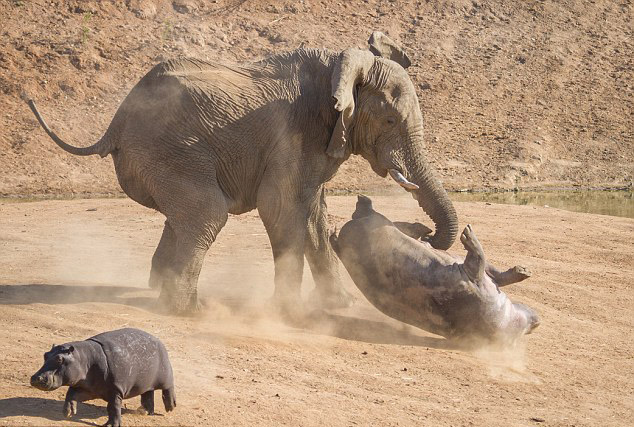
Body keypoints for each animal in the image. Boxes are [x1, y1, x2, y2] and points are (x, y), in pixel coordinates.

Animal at [24, 32, 456, 314]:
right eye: (390, 120)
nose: (427, 236)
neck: (341, 66)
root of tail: (115, 123)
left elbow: (313, 214)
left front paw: (340, 306)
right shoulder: (294, 133)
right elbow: (280, 208)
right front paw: (289, 313)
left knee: (184, 217)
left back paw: (161, 292)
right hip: (169, 152)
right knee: (207, 215)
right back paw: (188, 311)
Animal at [30, 330, 175, 426]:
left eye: (60, 359)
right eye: (45, 355)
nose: (36, 378)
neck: (84, 358)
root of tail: (158, 340)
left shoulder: (115, 391)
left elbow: (114, 408)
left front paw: (110, 425)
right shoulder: (87, 388)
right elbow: (70, 394)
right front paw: (68, 413)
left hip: (166, 375)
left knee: (168, 388)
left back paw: (171, 407)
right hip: (144, 383)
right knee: (148, 393)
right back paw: (144, 411)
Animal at [328, 196, 540, 344]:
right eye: (527, 328)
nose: (538, 321)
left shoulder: (473, 278)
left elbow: (485, 265)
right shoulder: (473, 276)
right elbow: (486, 265)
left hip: (371, 223)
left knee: (378, 217)